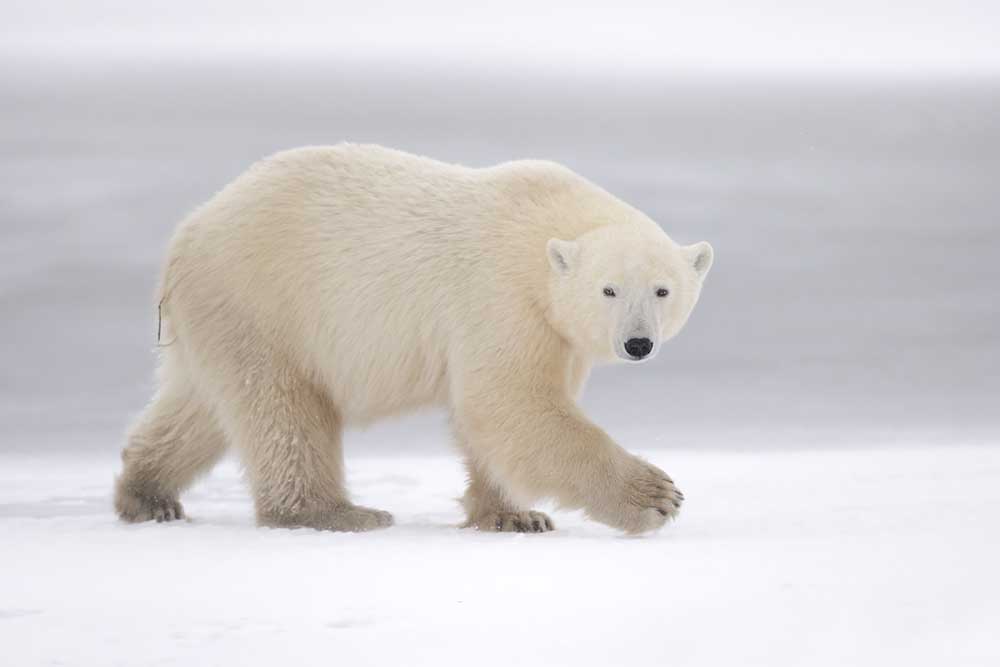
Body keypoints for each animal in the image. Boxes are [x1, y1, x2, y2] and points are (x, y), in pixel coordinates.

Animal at [115, 144, 712, 536]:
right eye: (608, 289)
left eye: (662, 289)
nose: (638, 344)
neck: (543, 227)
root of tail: (186, 234)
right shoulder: (502, 296)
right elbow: (508, 402)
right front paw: (656, 496)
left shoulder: (557, 332)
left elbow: (500, 417)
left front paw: (515, 515)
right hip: (265, 301)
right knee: (284, 412)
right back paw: (337, 513)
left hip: (222, 317)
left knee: (198, 408)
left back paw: (148, 495)